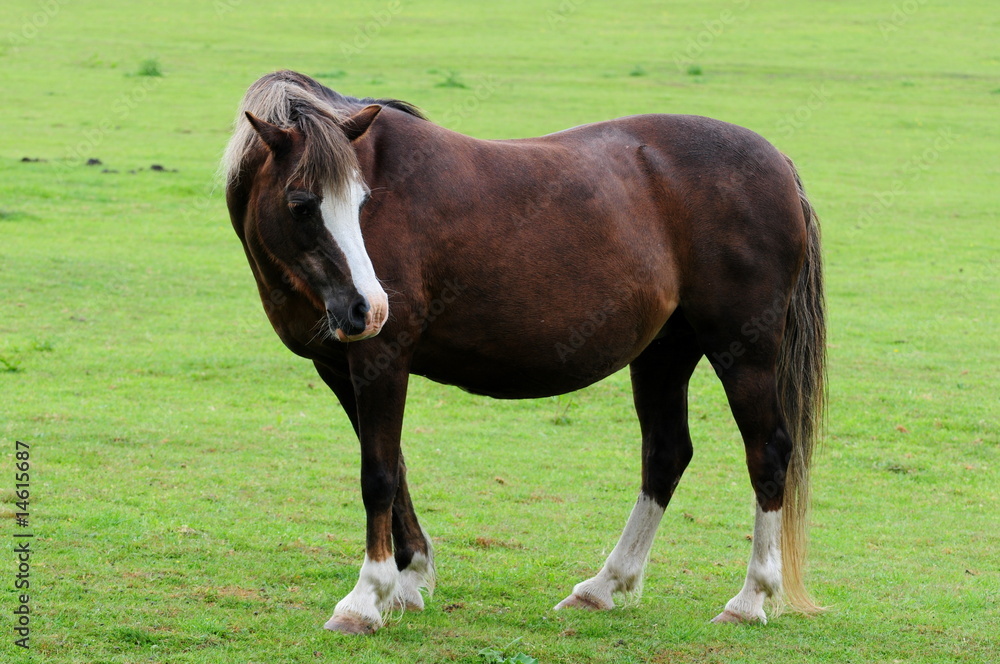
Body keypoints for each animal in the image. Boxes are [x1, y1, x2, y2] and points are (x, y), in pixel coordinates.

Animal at [222, 70, 826, 634]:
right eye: (302, 204)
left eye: (362, 200)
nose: (368, 309)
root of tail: (777, 162)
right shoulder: (338, 367)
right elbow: (396, 470)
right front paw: (409, 578)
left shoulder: (382, 357)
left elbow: (378, 477)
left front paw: (365, 599)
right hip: (664, 352)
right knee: (666, 455)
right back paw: (602, 587)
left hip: (742, 353)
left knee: (767, 452)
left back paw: (749, 599)